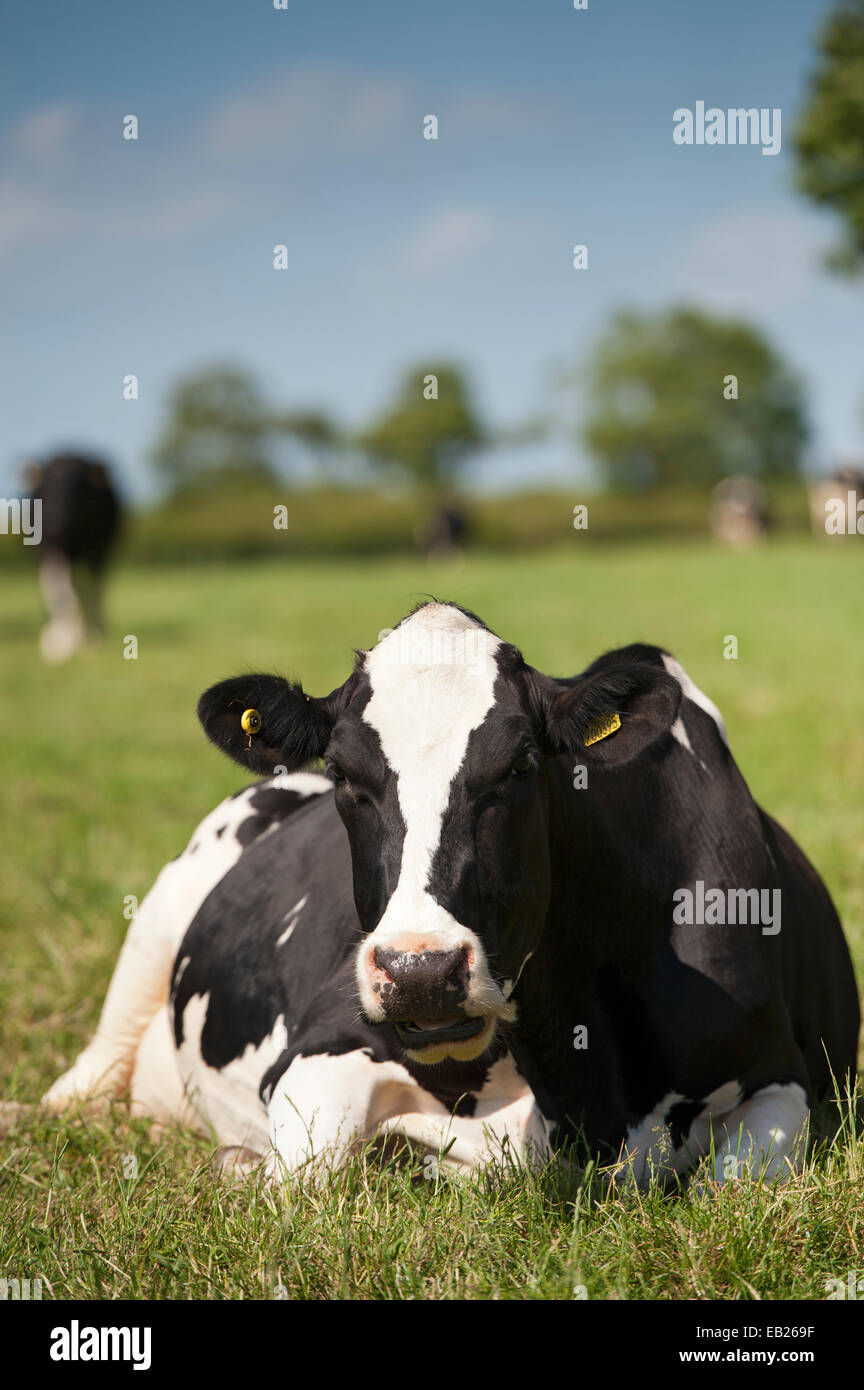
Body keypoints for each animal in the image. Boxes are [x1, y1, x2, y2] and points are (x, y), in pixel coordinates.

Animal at [25, 452, 123, 663]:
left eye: (79, 489)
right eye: (46, 488)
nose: (53, 523)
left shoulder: (93, 549)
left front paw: (77, 640)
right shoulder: (47, 550)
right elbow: (57, 590)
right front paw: (57, 642)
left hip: (99, 553)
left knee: (93, 590)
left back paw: (94, 634)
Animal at [41, 601, 859, 1187]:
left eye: (522, 763)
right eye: (342, 771)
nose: (420, 972)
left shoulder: (781, 1076)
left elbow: (738, 1181)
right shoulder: (317, 1046)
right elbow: (306, 1174)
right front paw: (248, 1168)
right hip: (157, 921)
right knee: (90, 1074)